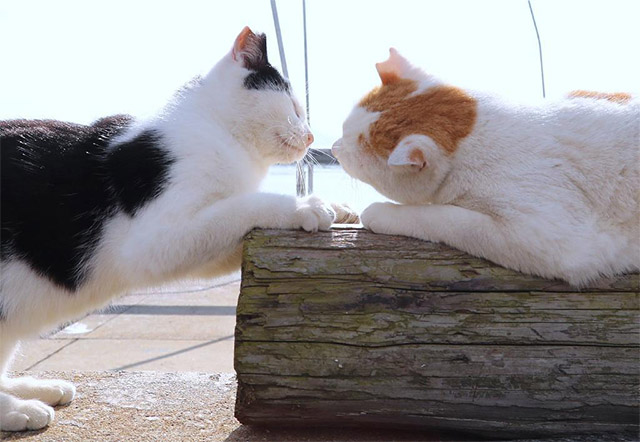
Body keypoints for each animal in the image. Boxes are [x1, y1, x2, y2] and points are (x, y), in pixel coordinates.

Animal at [0, 27, 350, 432]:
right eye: (294, 107)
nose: (310, 138)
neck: (219, 134)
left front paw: (343, 208)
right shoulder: (155, 241)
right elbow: (243, 204)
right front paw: (305, 206)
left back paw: (35, 388)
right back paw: (20, 409)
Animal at [332, 46, 636, 284]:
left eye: (348, 146)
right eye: (343, 129)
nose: (334, 148)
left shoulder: (555, 239)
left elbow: (448, 219)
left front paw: (381, 212)